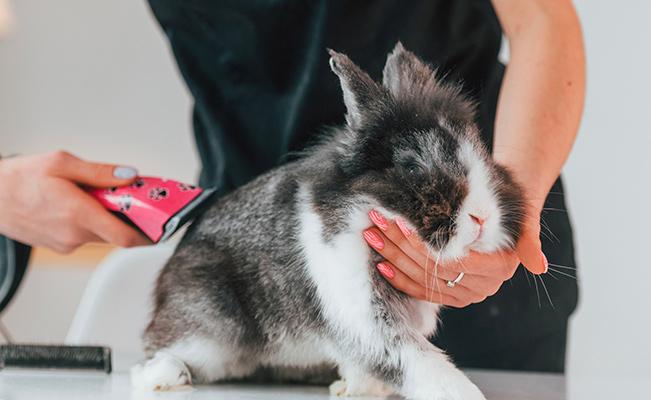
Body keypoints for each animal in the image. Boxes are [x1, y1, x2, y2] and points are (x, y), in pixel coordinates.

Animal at [131, 41, 524, 400]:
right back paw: (164, 377)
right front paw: (461, 393)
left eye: (481, 152)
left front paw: (357, 389)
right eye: (412, 166)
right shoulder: (361, 309)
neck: (370, 208)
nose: (482, 218)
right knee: (161, 349)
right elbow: (411, 356)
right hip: (209, 328)